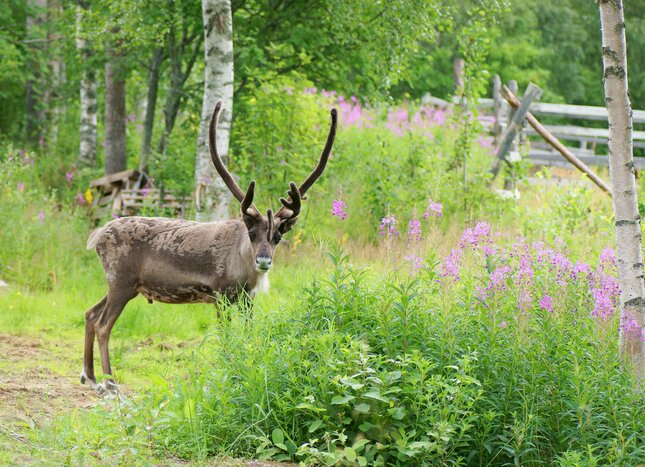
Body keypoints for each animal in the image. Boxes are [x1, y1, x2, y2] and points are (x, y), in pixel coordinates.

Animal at [81, 101, 337, 393]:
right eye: (251, 233)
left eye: (278, 237)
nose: (263, 261)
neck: (244, 268)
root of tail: (96, 236)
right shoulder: (220, 294)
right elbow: (225, 337)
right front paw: (227, 371)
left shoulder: (248, 299)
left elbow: (248, 334)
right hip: (121, 283)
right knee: (103, 325)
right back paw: (110, 384)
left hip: (124, 286)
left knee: (90, 314)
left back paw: (89, 376)